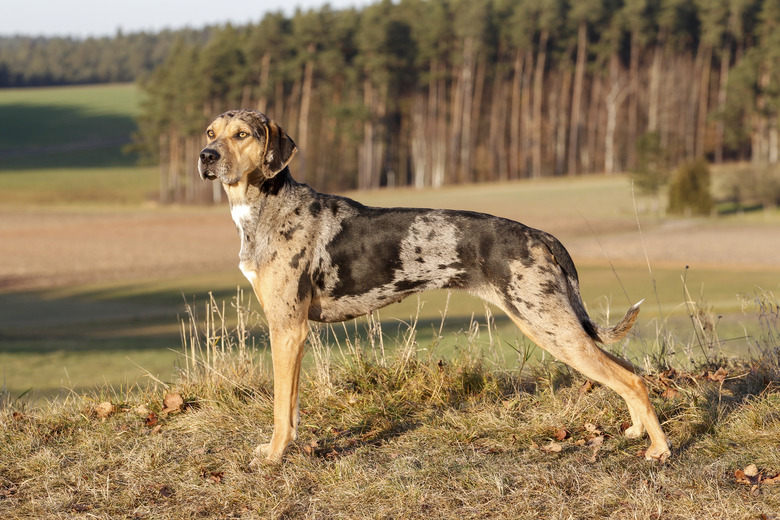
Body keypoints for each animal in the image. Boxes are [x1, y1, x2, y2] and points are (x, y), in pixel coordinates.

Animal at [198, 109, 672, 468]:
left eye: (242, 135)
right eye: (210, 132)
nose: (206, 156)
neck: (266, 206)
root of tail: (540, 235)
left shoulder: (288, 328)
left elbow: (281, 408)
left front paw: (274, 456)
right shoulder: (290, 331)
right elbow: (291, 405)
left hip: (550, 325)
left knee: (633, 380)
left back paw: (660, 450)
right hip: (557, 325)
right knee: (627, 371)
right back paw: (636, 431)